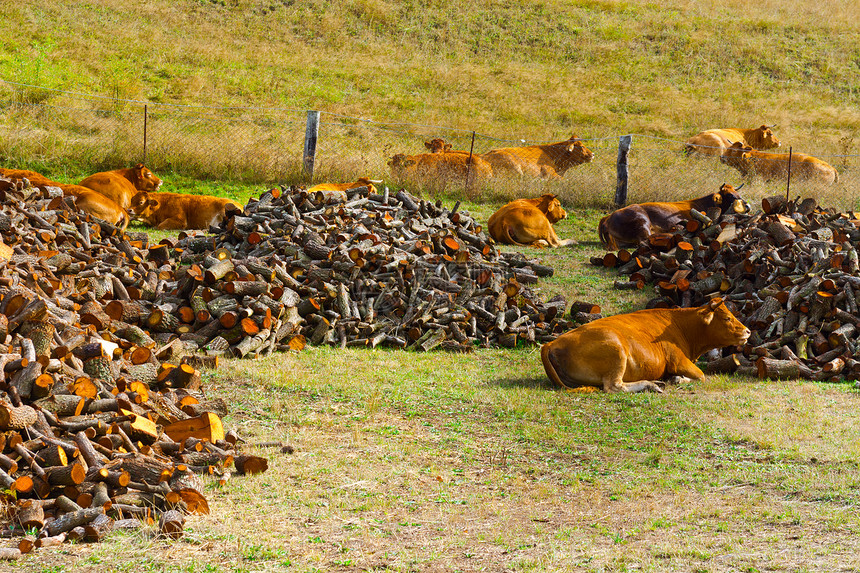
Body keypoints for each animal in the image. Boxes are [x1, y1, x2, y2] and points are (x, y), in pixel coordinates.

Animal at [540, 294, 748, 394]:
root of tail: (551, 344)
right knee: (614, 386)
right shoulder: (678, 361)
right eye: (727, 318)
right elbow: (701, 376)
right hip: (616, 351)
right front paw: (677, 379)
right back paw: (651, 385)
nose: (748, 331)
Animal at [596, 184, 748, 249]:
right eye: (730, 195)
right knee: (645, 241)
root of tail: (607, 217)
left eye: (738, 192)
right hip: (642, 222)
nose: (746, 205)